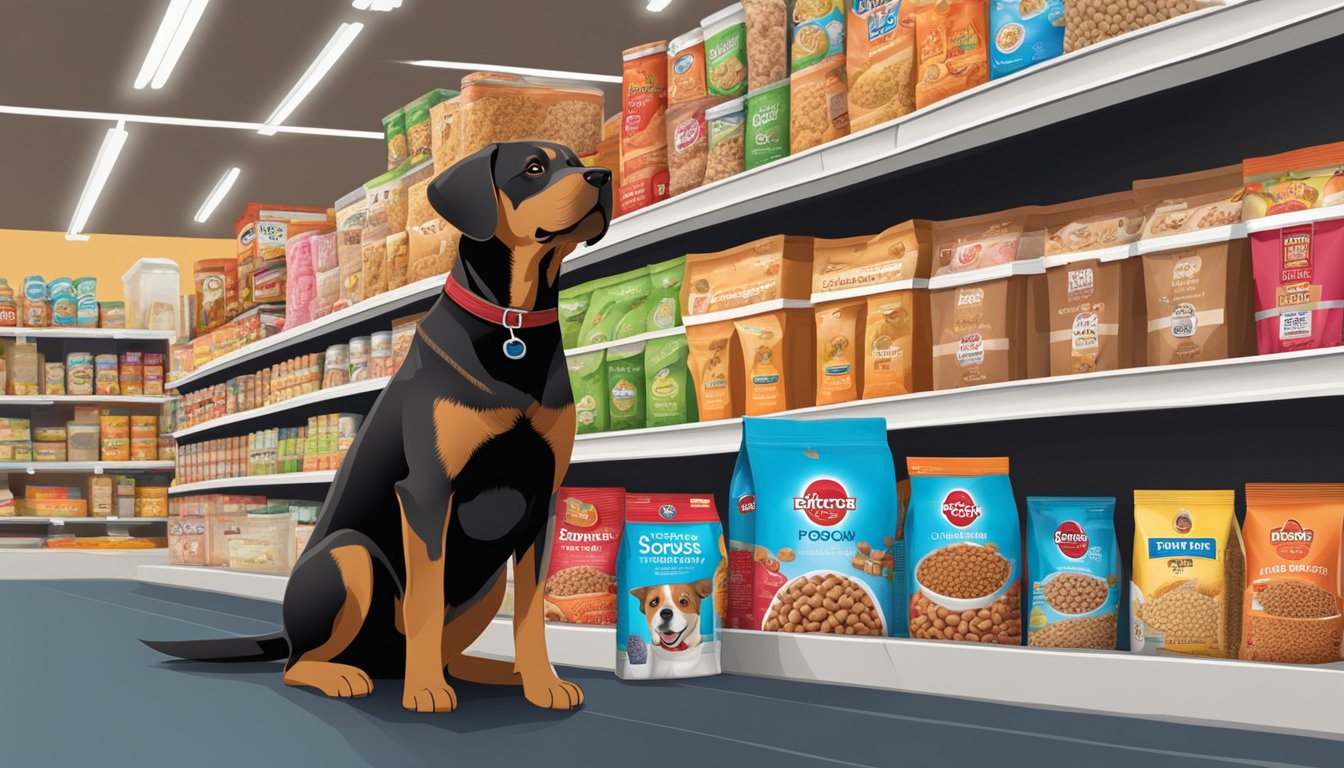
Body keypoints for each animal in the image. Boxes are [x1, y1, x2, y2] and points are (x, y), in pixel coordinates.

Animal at [144, 141, 612, 710]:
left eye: (576, 161)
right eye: (535, 168)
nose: (603, 176)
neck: (512, 326)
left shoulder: (542, 499)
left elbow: (530, 612)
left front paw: (542, 682)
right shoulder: (427, 493)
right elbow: (425, 602)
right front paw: (426, 691)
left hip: (484, 585)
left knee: (442, 648)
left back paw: (492, 672)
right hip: (350, 556)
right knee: (297, 664)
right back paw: (350, 676)